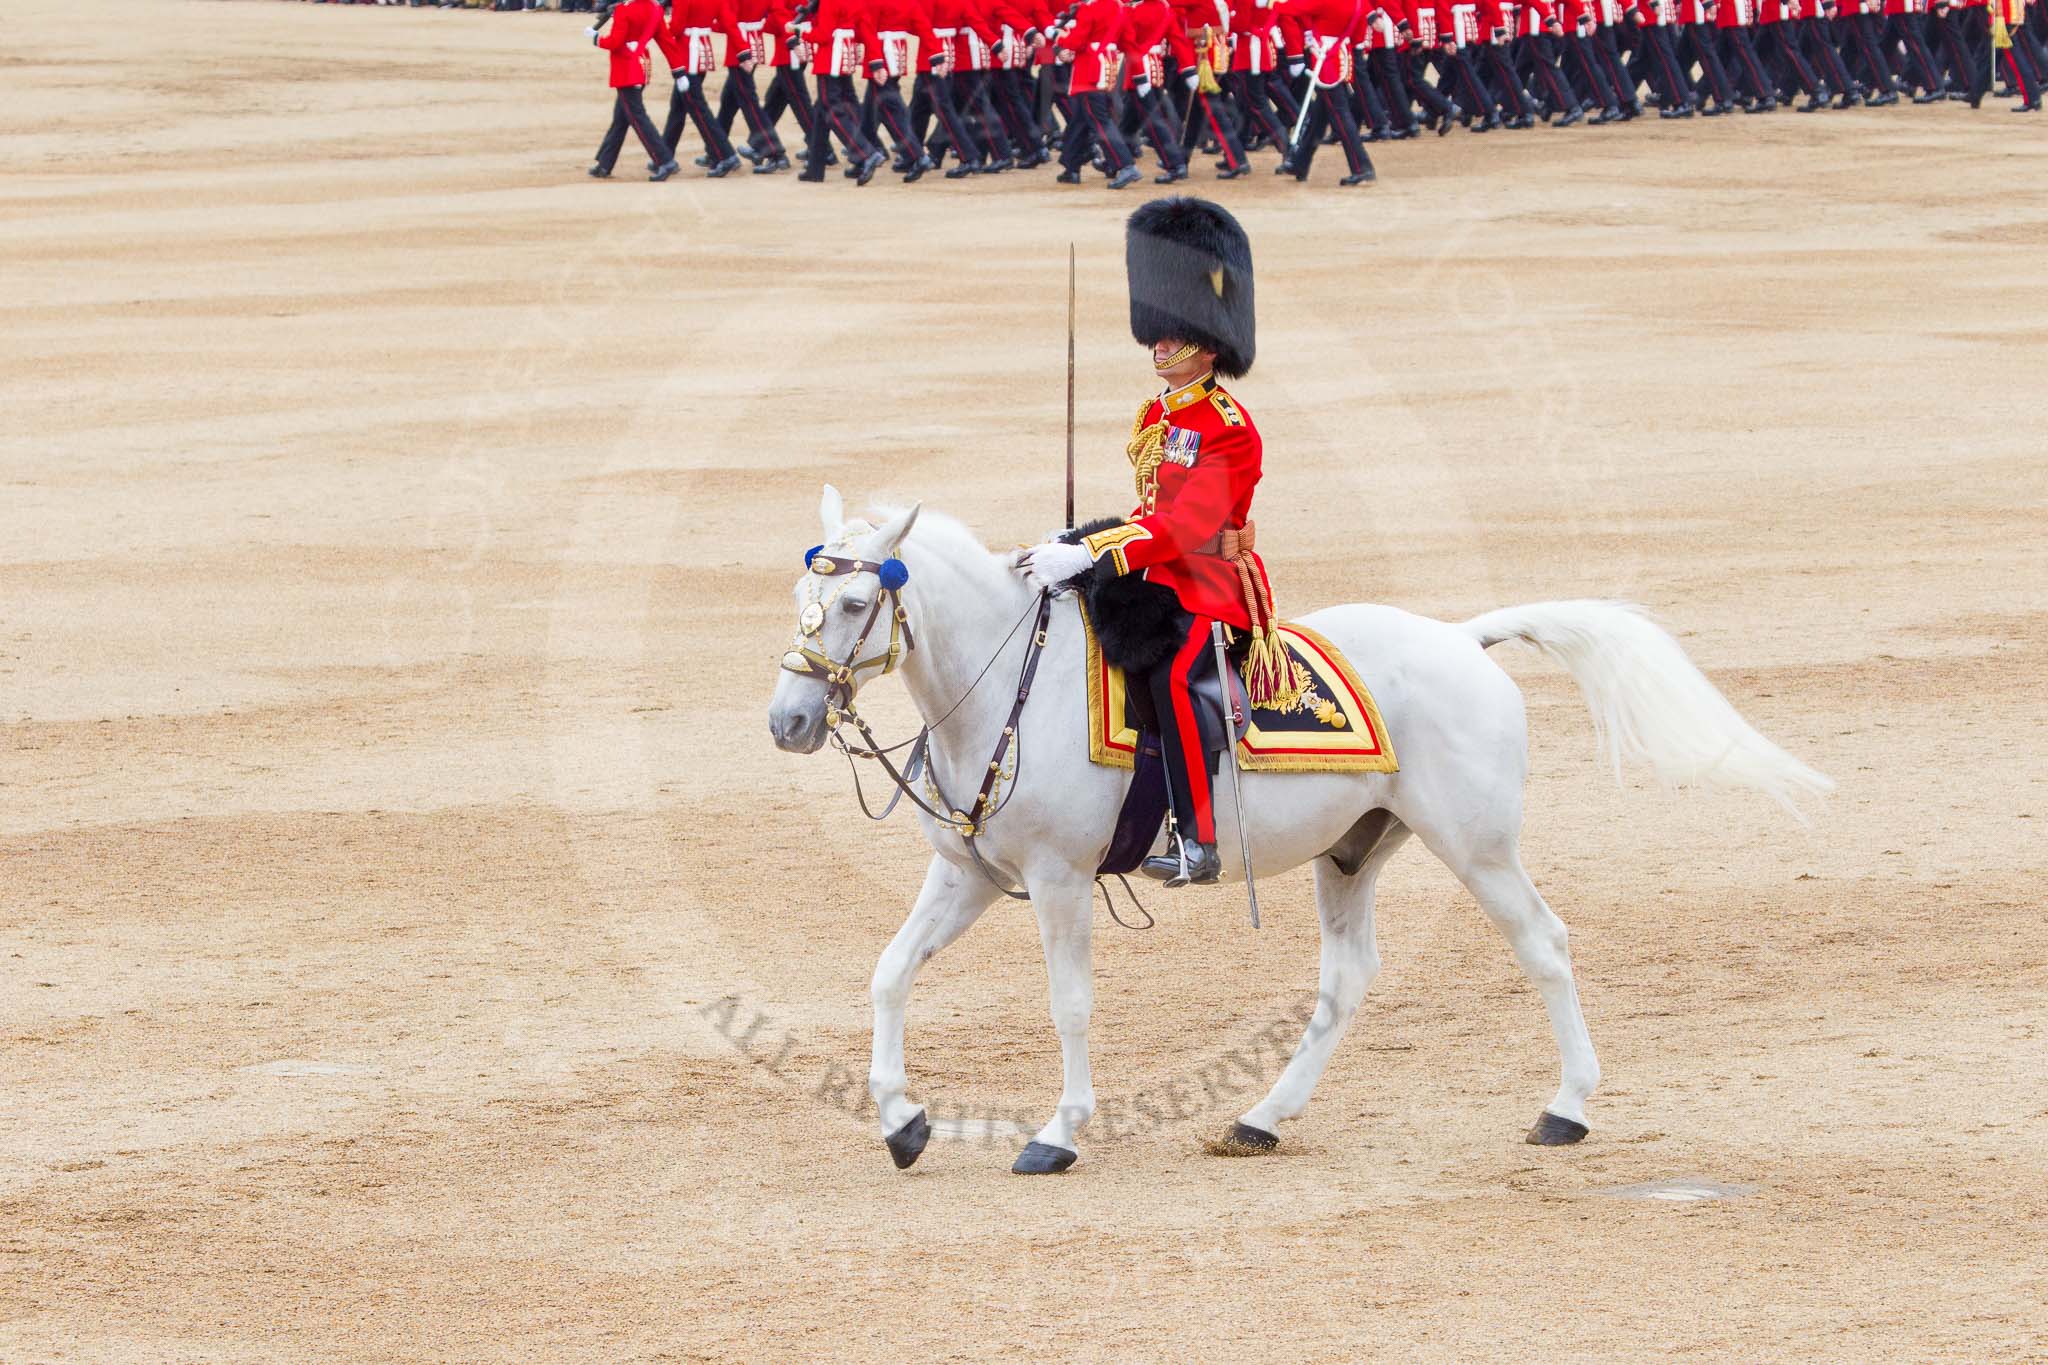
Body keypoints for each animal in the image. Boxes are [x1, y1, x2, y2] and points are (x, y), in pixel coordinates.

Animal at [767, 486, 1833, 1174]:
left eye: (856, 601)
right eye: (799, 598)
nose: (789, 721)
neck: (1005, 688)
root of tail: (1462, 639)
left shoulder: (1060, 880)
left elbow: (1069, 1005)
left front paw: (1057, 1133)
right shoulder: (971, 874)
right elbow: (890, 972)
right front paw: (902, 1121)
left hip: (1478, 849)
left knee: (1544, 943)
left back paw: (1565, 1109)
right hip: (1352, 853)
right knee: (1346, 981)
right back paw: (1262, 1119)